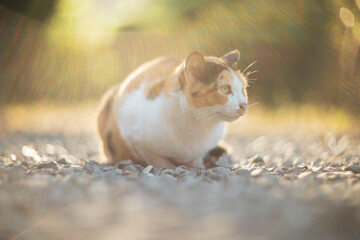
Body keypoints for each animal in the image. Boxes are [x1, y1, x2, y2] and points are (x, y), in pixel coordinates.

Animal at [96, 49, 248, 168]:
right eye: (225, 89)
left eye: (243, 89)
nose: (244, 104)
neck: (199, 125)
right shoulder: (131, 131)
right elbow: (157, 158)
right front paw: (170, 167)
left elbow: (197, 158)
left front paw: (197, 165)